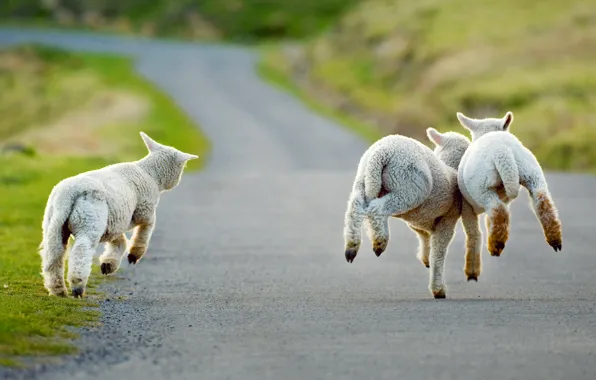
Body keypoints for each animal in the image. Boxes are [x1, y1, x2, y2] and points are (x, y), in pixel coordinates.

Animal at [38, 132, 199, 298]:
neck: (150, 174)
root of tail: (68, 194)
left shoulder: (115, 222)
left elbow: (119, 242)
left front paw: (108, 264)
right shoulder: (144, 210)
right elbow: (146, 228)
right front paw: (135, 254)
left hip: (54, 224)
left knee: (54, 256)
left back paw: (58, 290)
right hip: (89, 221)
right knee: (81, 251)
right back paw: (77, 287)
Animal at [342, 129, 486, 298]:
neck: (450, 167)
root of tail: (381, 152)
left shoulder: (419, 220)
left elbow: (424, 236)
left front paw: (425, 258)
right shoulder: (448, 218)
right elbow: (439, 251)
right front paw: (438, 289)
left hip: (363, 179)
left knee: (355, 207)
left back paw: (352, 247)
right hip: (406, 186)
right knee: (378, 208)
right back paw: (379, 242)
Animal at [456, 111, 564, 256]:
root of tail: (501, 150)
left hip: (482, 187)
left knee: (497, 210)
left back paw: (495, 246)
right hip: (531, 172)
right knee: (542, 201)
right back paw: (555, 239)